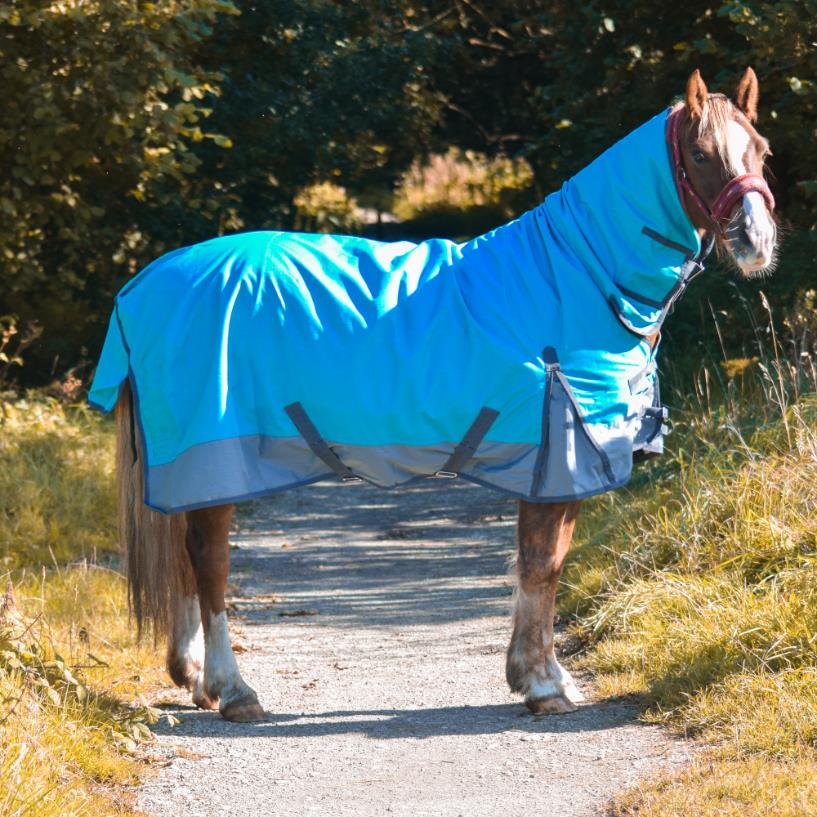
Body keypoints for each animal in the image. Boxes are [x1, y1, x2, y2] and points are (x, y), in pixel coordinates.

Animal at [90, 68, 777, 722]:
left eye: (761, 151)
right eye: (701, 153)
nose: (757, 240)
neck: (579, 275)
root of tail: (147, 281)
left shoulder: (558, 467)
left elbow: (544, 564)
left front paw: (538, 676)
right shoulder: (557, 462)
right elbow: (541, 566)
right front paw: (542, 685)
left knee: (183, 561)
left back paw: (195, 679)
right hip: (214, 457)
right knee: (209, 563)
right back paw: (234, 691)